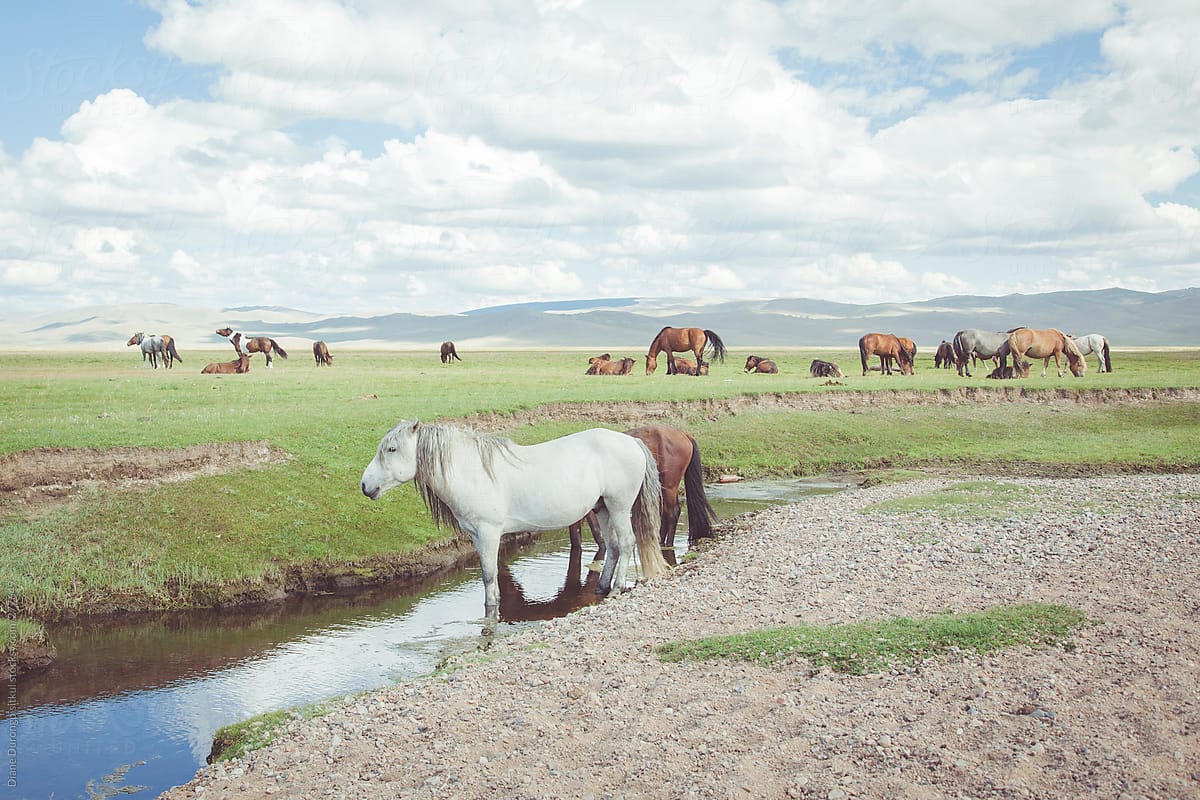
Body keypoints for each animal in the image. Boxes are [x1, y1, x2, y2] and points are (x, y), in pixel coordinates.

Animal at [361, 420, 669, 617]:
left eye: (391, 449)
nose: (365, 486)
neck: (472, 472)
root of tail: (632, 441)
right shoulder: (477, 536)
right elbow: (490, 573)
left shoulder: (489, 533)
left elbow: (488, 574)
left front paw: (491, 609)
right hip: (603, 508)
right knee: (614, 546)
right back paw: (602, 587)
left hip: (619, 507)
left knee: (626, 543)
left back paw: (616, 588)